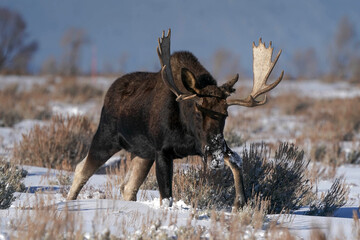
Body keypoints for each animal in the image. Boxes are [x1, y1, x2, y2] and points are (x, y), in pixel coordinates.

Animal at [66, 28, 282, 208]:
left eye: (225, 113)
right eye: (198, 110)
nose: (214, 151)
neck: (186, 130)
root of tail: (110, 91)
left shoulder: (205, 146)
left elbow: (237, 163)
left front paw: (240, 202)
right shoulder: (163, 151)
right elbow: (167, 195)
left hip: (142, 153)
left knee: (128, 187)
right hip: (107, 137)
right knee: (81, 170)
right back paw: (69, 202)